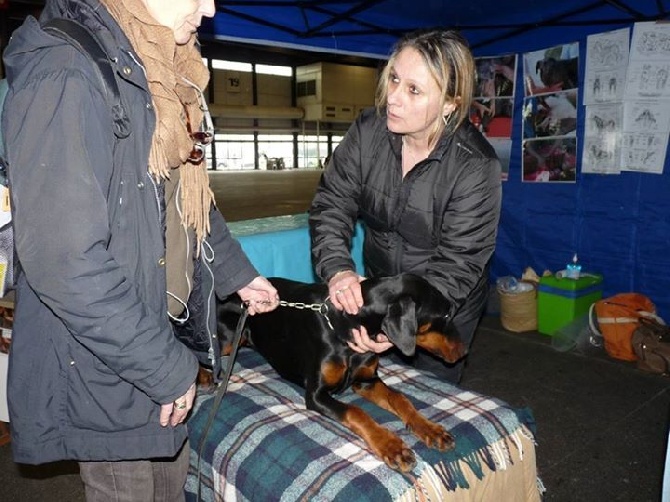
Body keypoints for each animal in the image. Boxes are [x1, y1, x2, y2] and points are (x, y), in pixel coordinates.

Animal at [217, 272, 468, 472]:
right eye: (446, 315)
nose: (465, 351)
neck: (347, 328)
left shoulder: (367, 380)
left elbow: (400, 398)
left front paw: (430, 430)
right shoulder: (316, 395)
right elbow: (356, 411)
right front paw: (392, 446)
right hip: (230, 336)